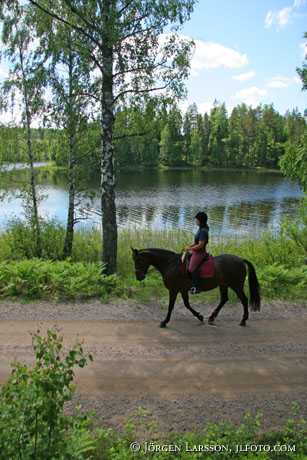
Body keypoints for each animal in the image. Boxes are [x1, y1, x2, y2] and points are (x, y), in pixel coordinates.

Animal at [131, 248, 262, 328]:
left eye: (138, 260)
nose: (138, 277)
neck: (171, 264)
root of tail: (240, 260)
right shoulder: (182, 290)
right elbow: (187, 304)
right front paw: (200, 316)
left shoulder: (174, 290)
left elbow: (171, 306)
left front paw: (164, 322)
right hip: (223, 285)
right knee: (224, 299)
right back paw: (211, 318)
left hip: (236, 286)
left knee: (244, 300)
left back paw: (243, 320)